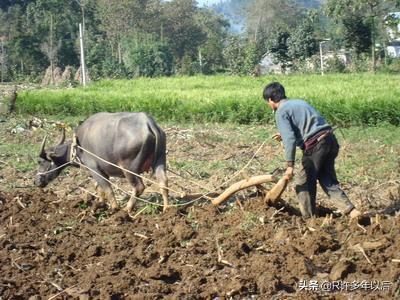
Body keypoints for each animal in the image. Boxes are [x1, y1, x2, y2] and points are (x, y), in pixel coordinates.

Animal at [34, 111, 170, 212]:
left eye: (40, 161)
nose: (36, 182)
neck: (77, 146)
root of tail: (147, 123)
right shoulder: (103, 171)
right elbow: (99, 188)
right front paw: (100, 203)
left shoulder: (94, 168)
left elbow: (107, 188)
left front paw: (114, 208)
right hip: (160, 160)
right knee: (163, 182)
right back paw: (166, 209)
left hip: (129, 169)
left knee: (139, 187)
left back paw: (126, 209)